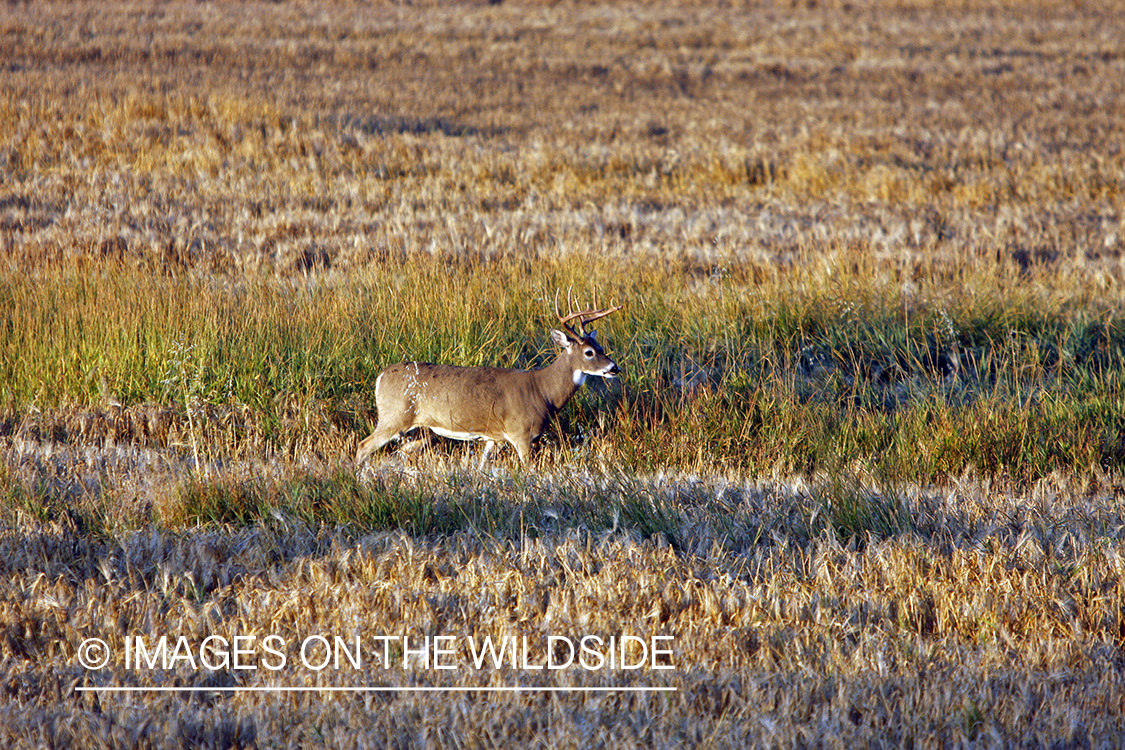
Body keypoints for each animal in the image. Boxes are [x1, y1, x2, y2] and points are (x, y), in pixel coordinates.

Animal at [355, 290, 625, 470]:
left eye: (601, 347)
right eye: (589, 353)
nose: (614, 368)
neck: (542, 392)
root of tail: (380, 377)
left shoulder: (494, 438)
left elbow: (482, 467)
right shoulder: (521, 434)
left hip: (423, 430)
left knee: (398, 452)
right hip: (394, 416)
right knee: (363, 446)